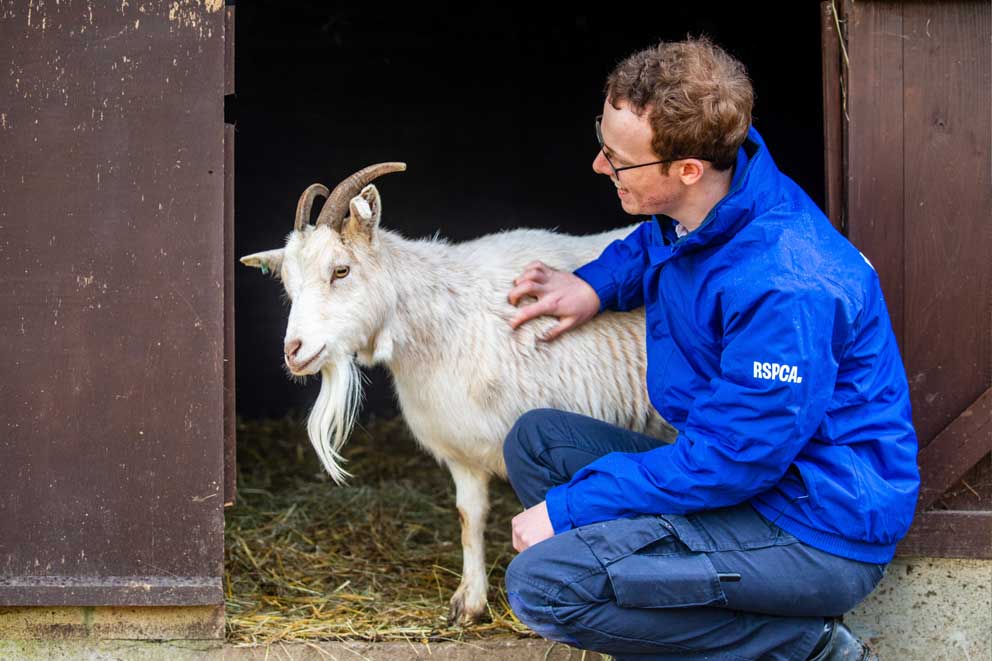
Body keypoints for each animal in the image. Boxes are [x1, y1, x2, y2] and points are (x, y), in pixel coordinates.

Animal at [240, 163, 674, 625]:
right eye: (288, 284)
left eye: (341, 270)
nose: (294, 351)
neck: (448, 321)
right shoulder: (462, 450)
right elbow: (470, 517)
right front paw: (469, 602)